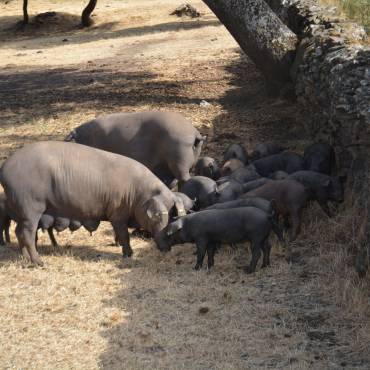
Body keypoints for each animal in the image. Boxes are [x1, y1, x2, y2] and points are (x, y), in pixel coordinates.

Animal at [0, 140, 185, 264]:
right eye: (161, 217)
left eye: (173, 216)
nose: (167, 248)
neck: (137, 195)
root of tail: (4, 169)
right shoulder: (118, 214)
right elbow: (124, 234)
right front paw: (128, 254)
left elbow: (119, 234)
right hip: (30, 207)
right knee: (27, 234)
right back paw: (39, 262)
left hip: (22, 211)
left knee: (18, 232)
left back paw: (26, 260)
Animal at [155, 207, 284, 274]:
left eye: (167, 233)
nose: (156, 241)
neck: (188, 225)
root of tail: (267, 215)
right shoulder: (211, 240)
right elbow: (210, 253)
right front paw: (210, 267)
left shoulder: (201, 239)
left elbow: (201, 253)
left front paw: (195, 268)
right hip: (264, 237)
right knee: (268, 247)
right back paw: (264, 266)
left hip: (256, 237)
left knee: (257, 253)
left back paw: (248, 270)